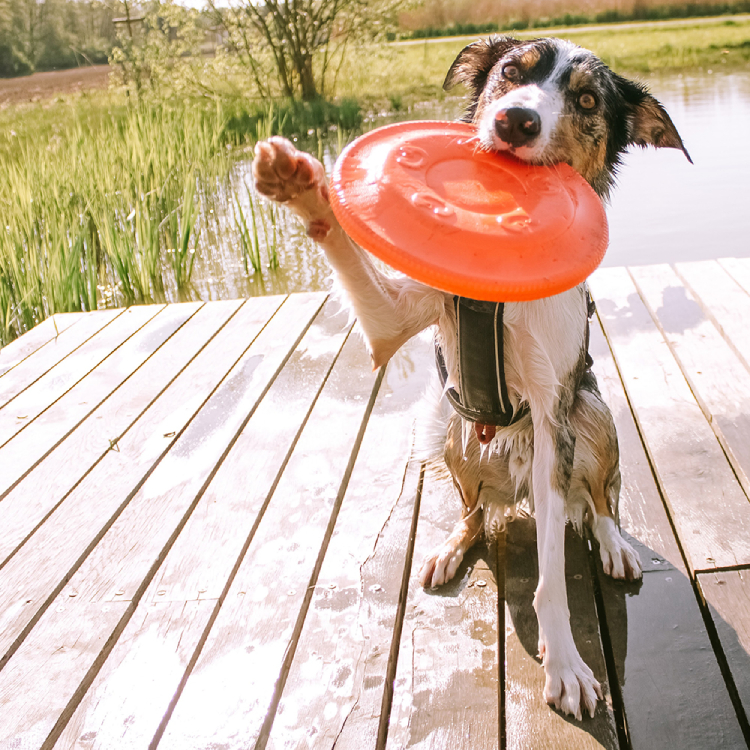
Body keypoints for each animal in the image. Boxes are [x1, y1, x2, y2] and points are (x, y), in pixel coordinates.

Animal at [253, 36, 692, 724]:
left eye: (587, 100)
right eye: (511, 71)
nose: (515, 120)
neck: (497, 292)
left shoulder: (552, 417)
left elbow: (550, 578)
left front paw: (565, 665)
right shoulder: (391, 320)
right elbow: (348, 256)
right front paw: (301, 185)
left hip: (590, 414)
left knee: (596, 499)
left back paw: (612, 541)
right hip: (441, 425)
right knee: (475, 512)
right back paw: (452, 545)